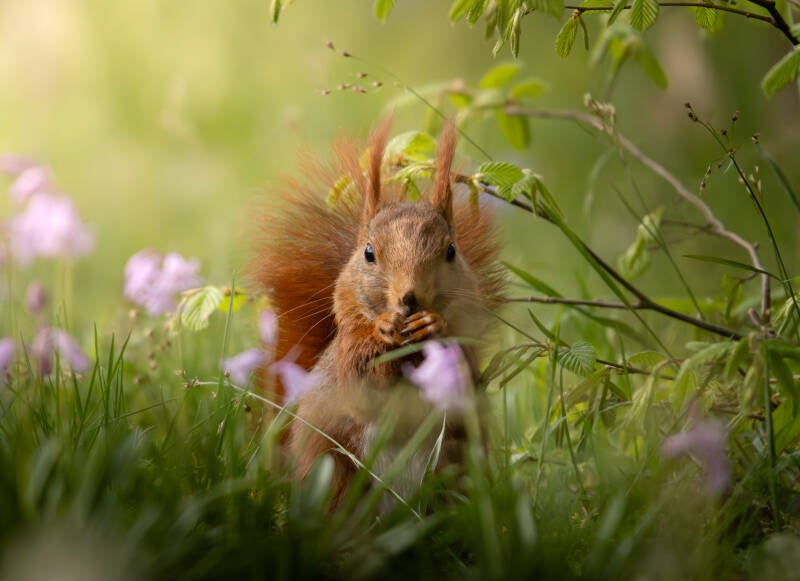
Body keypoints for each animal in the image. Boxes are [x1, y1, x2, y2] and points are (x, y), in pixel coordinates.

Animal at [250, 119, 504, 505]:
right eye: (369, 253)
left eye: (450, 251)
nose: (410, 298)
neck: (408, 352)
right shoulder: (348, 353)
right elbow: (362, 385)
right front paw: (384, 327)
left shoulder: (466, 353)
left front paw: (433, 323)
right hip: (331, 467)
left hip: (457, 465)